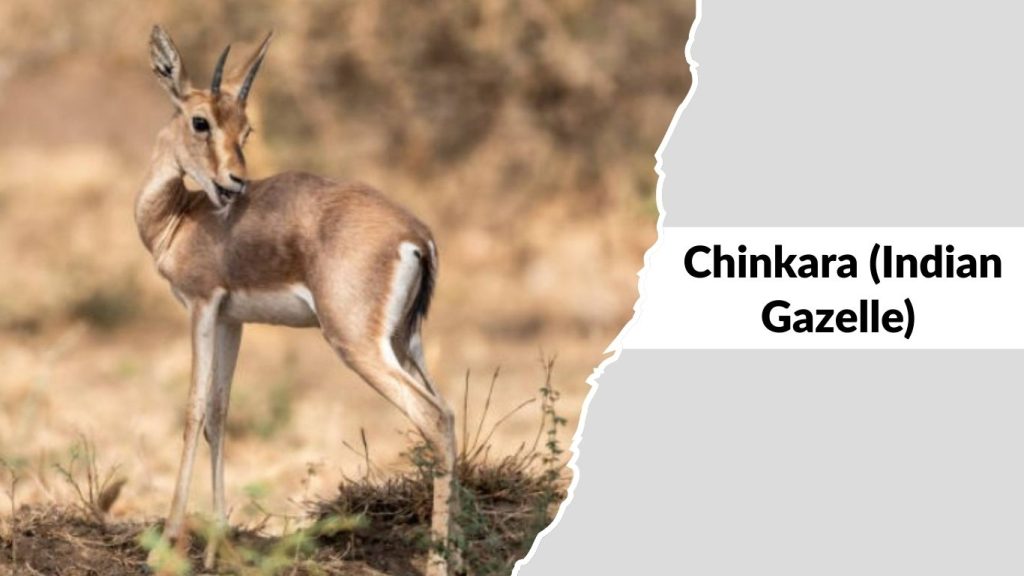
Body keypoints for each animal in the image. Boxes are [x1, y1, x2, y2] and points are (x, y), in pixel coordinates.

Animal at [139, 26, 458, 575]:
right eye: (202, 121)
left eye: (245, 130)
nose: (234, 183)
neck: (181, 218)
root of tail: (417, 236)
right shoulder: (231, 320)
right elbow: (220, 413)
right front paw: (219, 547)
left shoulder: (201, 307)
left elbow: (194, 410)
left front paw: (172, 544)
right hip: (406, 343)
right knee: (451, 416)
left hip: (358, 345)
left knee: (433, 419)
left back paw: (436, 564)